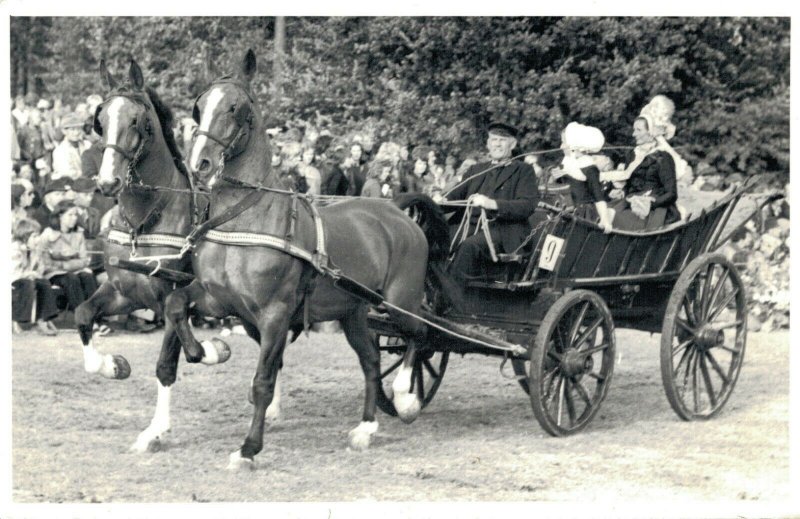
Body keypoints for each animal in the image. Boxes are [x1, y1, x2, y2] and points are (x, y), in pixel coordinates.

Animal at [83, 59, 219, 452]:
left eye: (136, 120)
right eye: (100, 119)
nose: (108, 182)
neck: (145, 220)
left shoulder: (172, 298)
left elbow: (167, 365)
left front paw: (154, 431)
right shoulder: (123, 293)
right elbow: (82, 315)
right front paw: (113, 365)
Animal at [166, 51, 450, 472]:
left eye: (235, 108)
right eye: (198, 107)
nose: (199, 163)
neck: (248, 219)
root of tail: (396, 209)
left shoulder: (275, 313)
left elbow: (263, 381)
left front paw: (248, 448)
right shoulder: (219, 299)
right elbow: (175, 303)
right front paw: (205, 351)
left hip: (400, 302)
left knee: (420, 335)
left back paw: (405, 396)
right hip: (353, 312)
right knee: (370, 361)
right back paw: (366, 427)